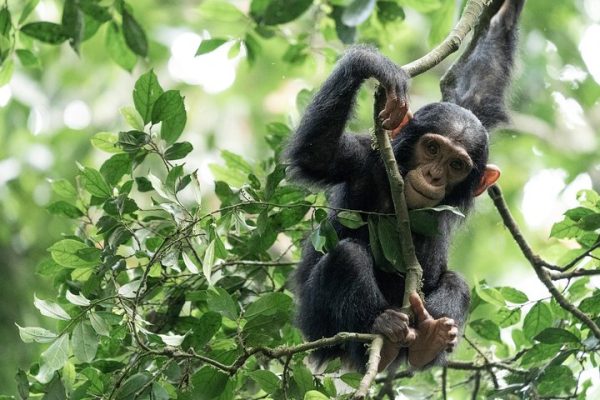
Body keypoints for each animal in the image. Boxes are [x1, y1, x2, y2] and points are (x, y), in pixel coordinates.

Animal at [286, 0, 524, 372]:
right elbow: (318, 154)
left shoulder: (475, 114)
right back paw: (381, 328)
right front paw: (372, 65)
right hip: (319, 327)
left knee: (456, 283)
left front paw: (506, 12)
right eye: (432, 148)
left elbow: (480, 89)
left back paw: (429, 340)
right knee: (347, 256)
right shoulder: (362, 162)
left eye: (457, 164)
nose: (433, 175)